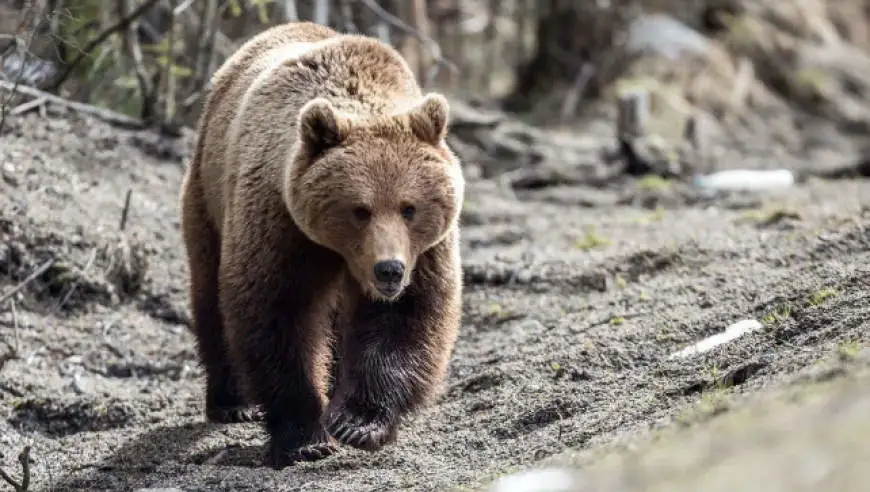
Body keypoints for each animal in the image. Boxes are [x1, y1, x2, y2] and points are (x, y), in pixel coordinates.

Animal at [178, 21, 465, 469]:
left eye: (409, 208)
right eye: (360, 209)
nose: (389, 270)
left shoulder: (425, 252)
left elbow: (406, 315)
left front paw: (357, 422)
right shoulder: (281, 223)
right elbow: (278, 314)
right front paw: (304, 438)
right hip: (208, 195)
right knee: (209, 294)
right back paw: (231, 402)